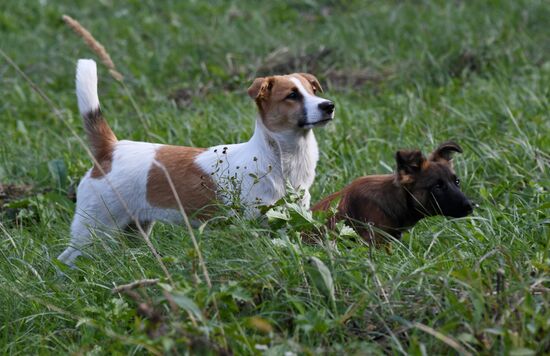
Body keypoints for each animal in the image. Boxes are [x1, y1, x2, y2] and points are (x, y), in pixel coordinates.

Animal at [58, 59, 334, 264]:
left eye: (312, 91)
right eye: (292, 95)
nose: (329, 105)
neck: (277, 158)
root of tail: (111, 149)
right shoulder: (252, 225)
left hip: (136, 228)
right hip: (93, 228)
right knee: (66, 258)